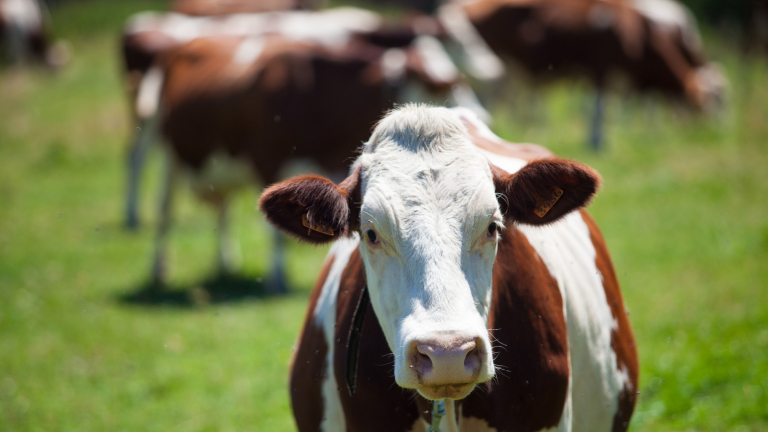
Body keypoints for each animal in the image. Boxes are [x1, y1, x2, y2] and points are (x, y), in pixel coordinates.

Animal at [135, 28, 486, 292]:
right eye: (445, 84)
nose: (480, 114)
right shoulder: (268, 159)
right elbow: (275, 233)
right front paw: (277, 278)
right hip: (164, 147)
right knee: (164, 208)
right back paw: (158, 269)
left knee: (223, 208)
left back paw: (226, 263)